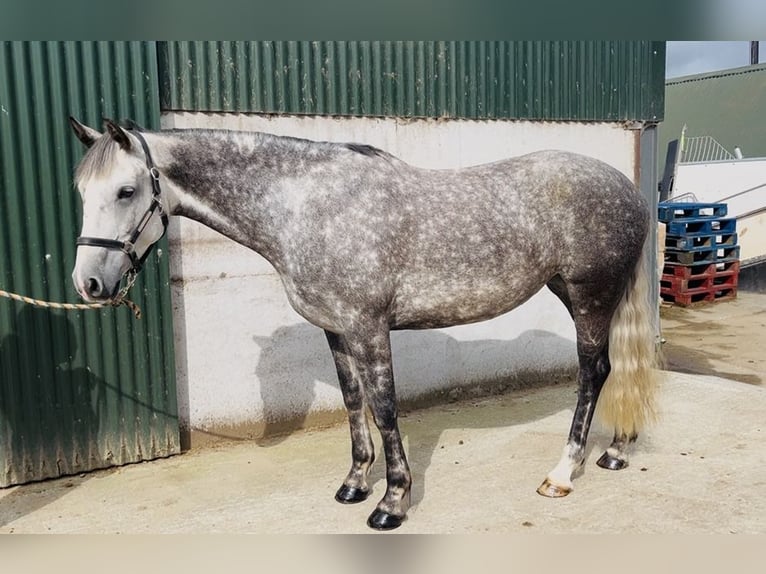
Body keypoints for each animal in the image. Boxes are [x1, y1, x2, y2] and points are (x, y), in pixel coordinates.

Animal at [68, 117, 658, 530]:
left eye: (126, 191)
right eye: (81, 193)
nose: (88, 283)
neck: (305, 206)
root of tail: (626, 188)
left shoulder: (369, 327)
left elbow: (385, 407)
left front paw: (392, 503)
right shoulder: (336, 329)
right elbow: (355, 403)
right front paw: (355, 484)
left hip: (589, 296)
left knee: (592, 374)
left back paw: (561, 474)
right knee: (614, 370)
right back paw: (615, 452)